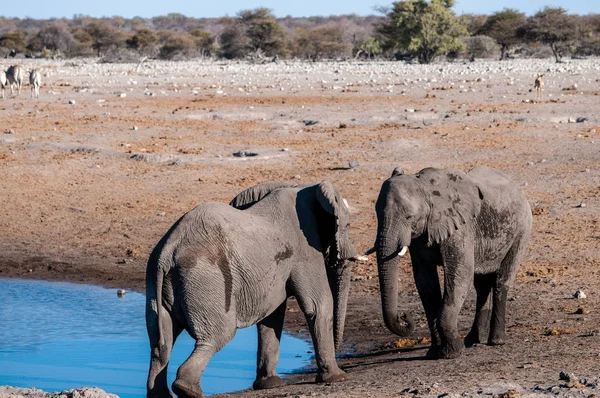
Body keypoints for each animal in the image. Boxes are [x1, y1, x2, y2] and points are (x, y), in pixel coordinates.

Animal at [146, 181, 358, 398]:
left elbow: (271, 316)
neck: (304, 187)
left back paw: (163, 395)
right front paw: (337, 378)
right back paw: (189, 391)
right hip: (205, 277)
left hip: (156, 280)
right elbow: (318, 305)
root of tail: (168, 252)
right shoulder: (304, 248)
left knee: (160, 343)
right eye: (348, 226)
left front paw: (270, 384)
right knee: (217, 336)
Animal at [370, 166, 536, 360]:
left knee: (502, 280)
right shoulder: (421, 236)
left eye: (409, 217)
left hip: (522, 230)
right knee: (481, 285)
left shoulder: (460, 229)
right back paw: (472, 340)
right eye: (377, 214)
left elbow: (459, 275)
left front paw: (452, 352)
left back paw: (496, 341)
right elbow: (425, 282)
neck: (426, 187)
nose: (404, 316)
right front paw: (434, 352)